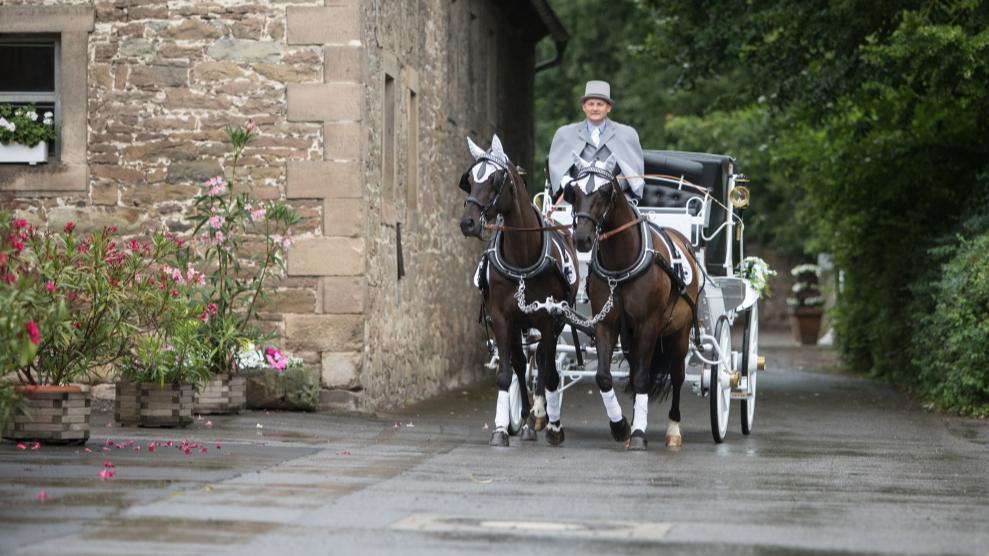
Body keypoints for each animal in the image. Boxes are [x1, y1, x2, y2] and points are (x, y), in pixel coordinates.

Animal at [462, 135, 584, 448]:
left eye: (495, 179)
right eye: (470, 179)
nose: (468, 222)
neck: (522, 258)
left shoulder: (549, 318)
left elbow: (548, 372)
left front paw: (552, 426)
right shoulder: (502, 318)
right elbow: (508, 372)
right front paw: (501, 428)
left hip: (553, 321)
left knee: (542, 360)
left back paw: (540, 416)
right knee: (522, 362)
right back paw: (527, 418)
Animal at [564, 154, 704, 450]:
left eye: (605, 191)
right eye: (574, 191)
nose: (582, 238)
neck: (621, 265)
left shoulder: (649, 325)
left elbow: (642, 378)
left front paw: (639, 432)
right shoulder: (607, 323)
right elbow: (604, 377)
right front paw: (621, 427)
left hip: (679, 333)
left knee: (677, 375)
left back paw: (673, 429)